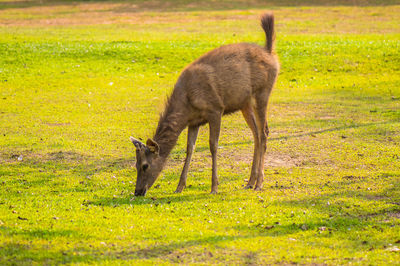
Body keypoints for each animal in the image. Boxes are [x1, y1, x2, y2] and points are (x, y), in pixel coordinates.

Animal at [130, 13, 278, 195]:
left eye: (145, 165)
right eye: (135, 165)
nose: (137, 192)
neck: (186, 103)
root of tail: (270, 52)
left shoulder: (215, 109)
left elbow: (213, 145)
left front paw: (214, 186)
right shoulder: (194, 121)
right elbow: (189, 149)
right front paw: (179, 187)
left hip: (262, 92)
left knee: (264, 132)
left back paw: (259, 183)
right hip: (245, 103)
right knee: (256, 134)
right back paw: (250, 181)